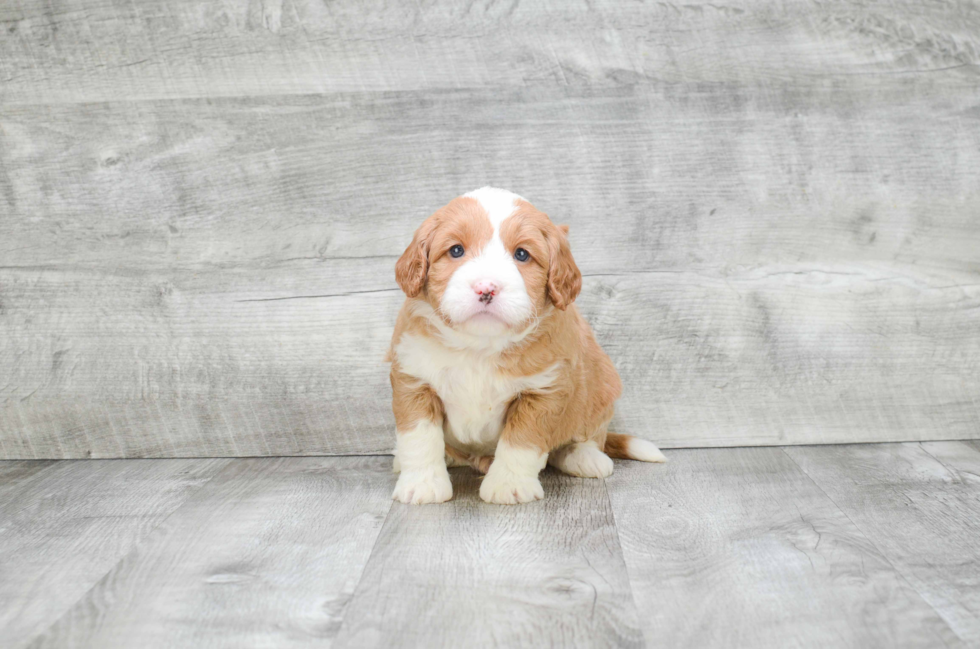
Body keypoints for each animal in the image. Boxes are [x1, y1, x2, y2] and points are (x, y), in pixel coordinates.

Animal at [386, 185, 664, 504]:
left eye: (522, 254)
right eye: (456, 250)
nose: (486, 287)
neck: (479, 345)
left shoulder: (543, 391)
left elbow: (521, 442)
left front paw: (509, 485)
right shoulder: (414, 380)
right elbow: (420, 437)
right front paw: (422, 484)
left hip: (602, 385)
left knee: (589, 434)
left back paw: (584, 457)